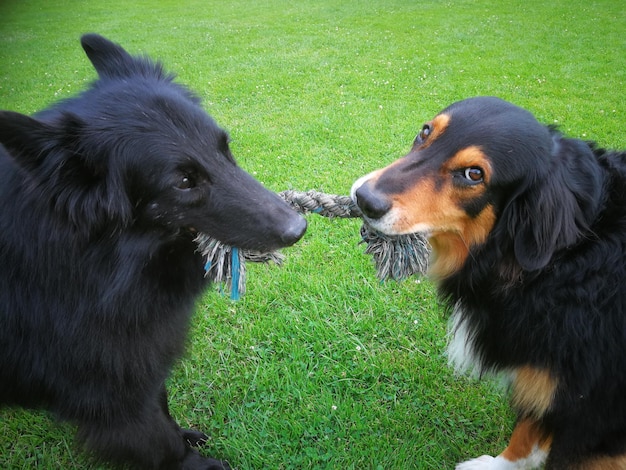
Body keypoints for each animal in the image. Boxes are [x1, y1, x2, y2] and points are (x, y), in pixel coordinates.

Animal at [0, 35, 306, 468]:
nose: (299, 229)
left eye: (224, 149)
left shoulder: (141, 362)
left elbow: (162, 407)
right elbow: (160, 440)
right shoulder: (114, 398)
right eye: (183, 181)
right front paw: (196, 464)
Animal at [352, 96, 624, 470]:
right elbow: (526, 431)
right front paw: (501, 465)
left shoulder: (594, 419)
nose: (364, 198)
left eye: (474, 174)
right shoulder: (544, 384)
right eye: (425, 132)